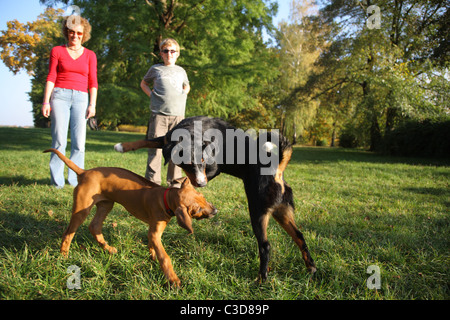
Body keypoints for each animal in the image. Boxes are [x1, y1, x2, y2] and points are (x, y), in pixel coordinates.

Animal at [44, 148, 216, 288]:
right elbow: (165, 257)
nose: (215, 211)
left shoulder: (153, 231)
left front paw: (153, 257)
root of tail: (84, 172)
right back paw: (64, 255)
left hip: (106, 204)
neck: (164, 197)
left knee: (94, 227)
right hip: (82, 208)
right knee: (69, 232)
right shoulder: (155, 232)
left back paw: (108, 248)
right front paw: (172, 279)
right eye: (197, 210)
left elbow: (153, 246)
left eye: (203, 197)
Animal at [113, 116, 316, 282]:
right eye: (187, 163)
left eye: (203, 161)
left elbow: (190, 180)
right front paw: (121, 146)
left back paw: (261, 278)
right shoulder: (165, 141)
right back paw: (311, 267)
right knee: (299, 236)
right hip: (282, 212)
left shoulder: (213, 168)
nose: (202, 185)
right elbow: (145, 140)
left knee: (265, 246)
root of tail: (277, 171)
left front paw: (180, 184)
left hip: (257, 212)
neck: (193, 132)